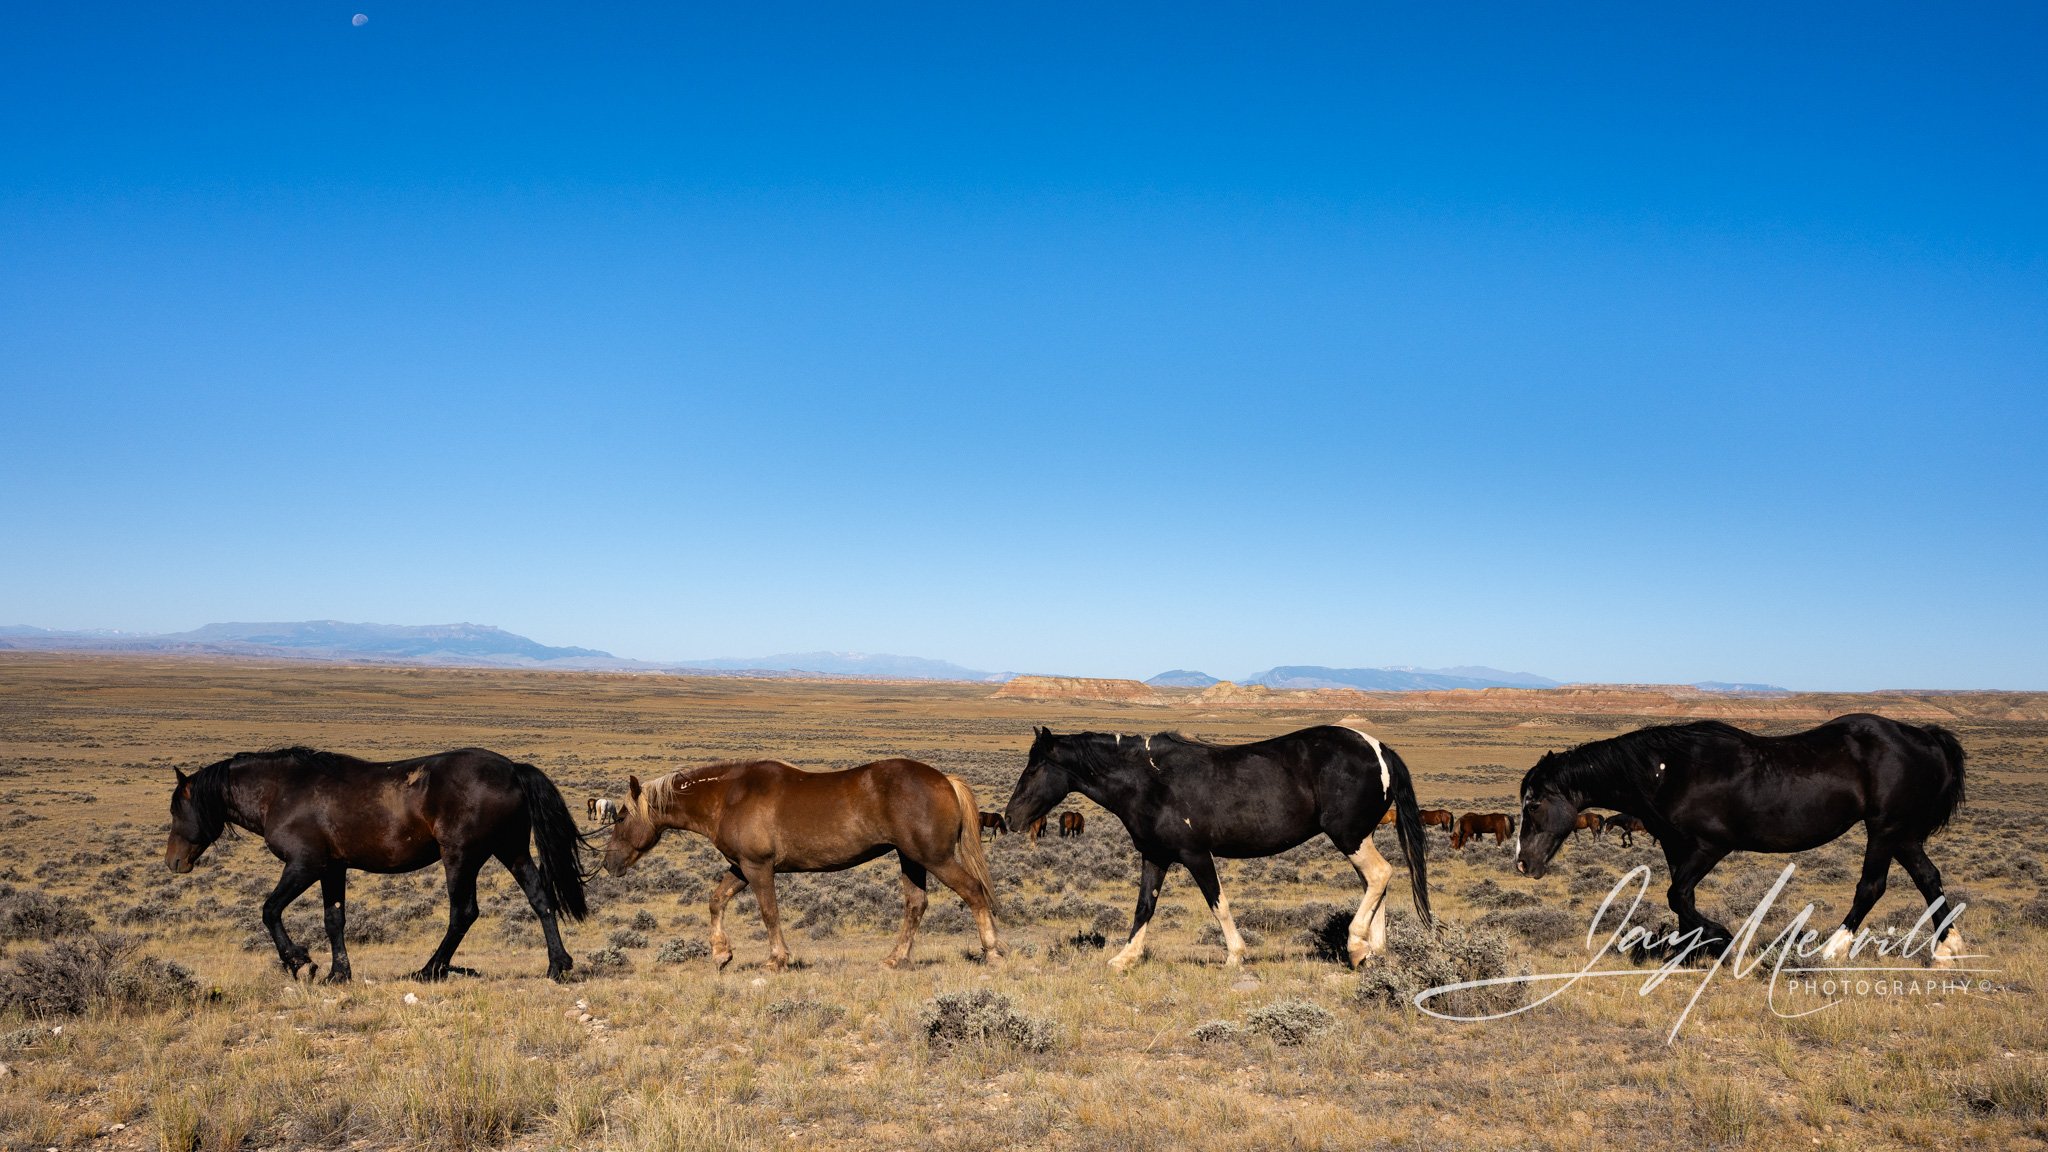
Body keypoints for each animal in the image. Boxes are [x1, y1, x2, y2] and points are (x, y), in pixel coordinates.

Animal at [165, 747, 586, 982]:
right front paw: (338, 973)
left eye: (177, 809)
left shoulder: (304, 866)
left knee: (463, 912)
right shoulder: (332, 869)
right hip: (511, 850)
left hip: (461, 857)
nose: (173, 862)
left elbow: (269, 911)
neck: (282, 792)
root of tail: (513, 769)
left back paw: (429, 970)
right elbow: (333, 919)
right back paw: (557, 965)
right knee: (540, 898)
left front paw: (300, 963)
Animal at [599, 758, 1001, 970]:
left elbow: (769, 913)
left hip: (935, 858)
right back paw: (894, 958)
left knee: (973, 892)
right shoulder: (740, 868)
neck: (728, 797)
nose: (608, 863)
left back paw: (993, 952)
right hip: (910, 859)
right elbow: (716, 901)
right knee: (916, 904)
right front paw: (721, 953)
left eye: (620, 817)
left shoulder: (758, 868)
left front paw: (776, 960)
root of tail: (945, 780)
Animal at [1003, 725, 1431, 971]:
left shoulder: (1195, 854)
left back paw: (1357, 946)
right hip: (1358, 837)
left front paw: (1235, 956)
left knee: (1380, 875)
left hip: (1348, 835)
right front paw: (1124, 959)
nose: (1010, 818)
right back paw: (1374, 952)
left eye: (1034, 768)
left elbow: (1218, 904)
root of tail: (1380, 749)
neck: (1150, 780)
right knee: (1377, 881)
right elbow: (1144, 907)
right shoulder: (1155, 856)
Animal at [1512, 715, 1968, 966]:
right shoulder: (1676, 846)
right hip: (1901, 833)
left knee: (1871, 886)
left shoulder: (1710, 846)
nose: (1522, 863)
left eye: (1532, 804)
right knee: (1928, 877)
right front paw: (1687, 952)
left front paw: (1721, 940)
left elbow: (1678, 895)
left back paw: (1830, 952)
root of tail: (1924, 737)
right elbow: (1682, 898)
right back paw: (1947, 950)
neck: (1667, 770)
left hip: (1884, 829)